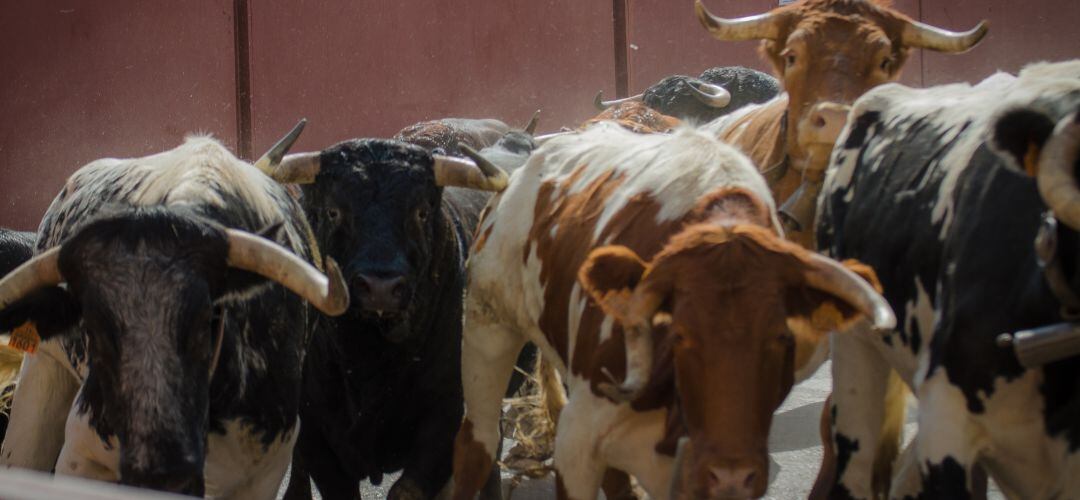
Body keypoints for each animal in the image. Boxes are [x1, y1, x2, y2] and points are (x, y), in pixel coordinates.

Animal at [0, 132, 345, 496]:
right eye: (92, 328)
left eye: (205, 319)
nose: (159, 472)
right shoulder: (82, 455)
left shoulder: (265, 469)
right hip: (42, 374)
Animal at [447, 122, 894, 500]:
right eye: (680, 335)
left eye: (782, 339)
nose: (730, 474)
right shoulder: (577, 439)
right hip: (489, 326)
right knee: (478, 442)